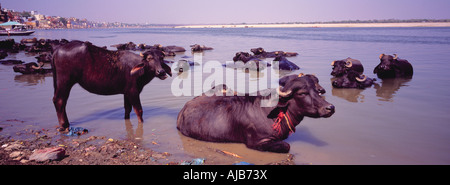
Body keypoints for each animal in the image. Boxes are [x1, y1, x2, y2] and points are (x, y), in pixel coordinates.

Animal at [176, 73, 334, 153]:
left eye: (317, 91)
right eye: (302, 93)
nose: (330, 107)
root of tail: (183, 109)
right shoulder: (258, 142)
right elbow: (286, 146)